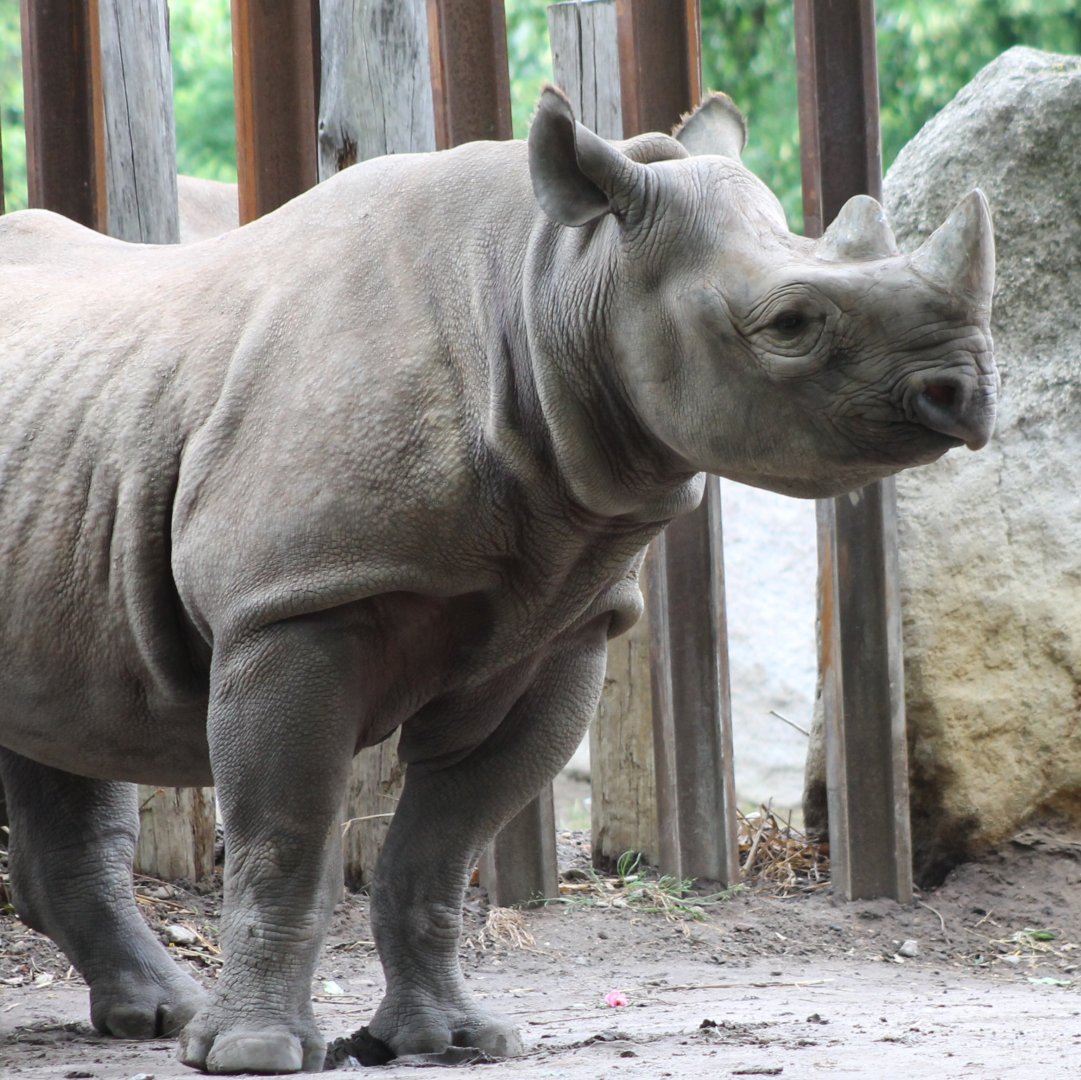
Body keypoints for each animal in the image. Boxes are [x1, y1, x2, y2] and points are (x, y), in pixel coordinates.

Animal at [0, 87, 995, 1073]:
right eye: (789, 323)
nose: (969, 391)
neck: (556, 282)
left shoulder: (559, 623)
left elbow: (443, 846)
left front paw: (449, 1041)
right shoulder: (292, 604)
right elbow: (283, 841)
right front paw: (252, 1054)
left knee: (68, 721)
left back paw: (153, 1016)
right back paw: (174, 1019)